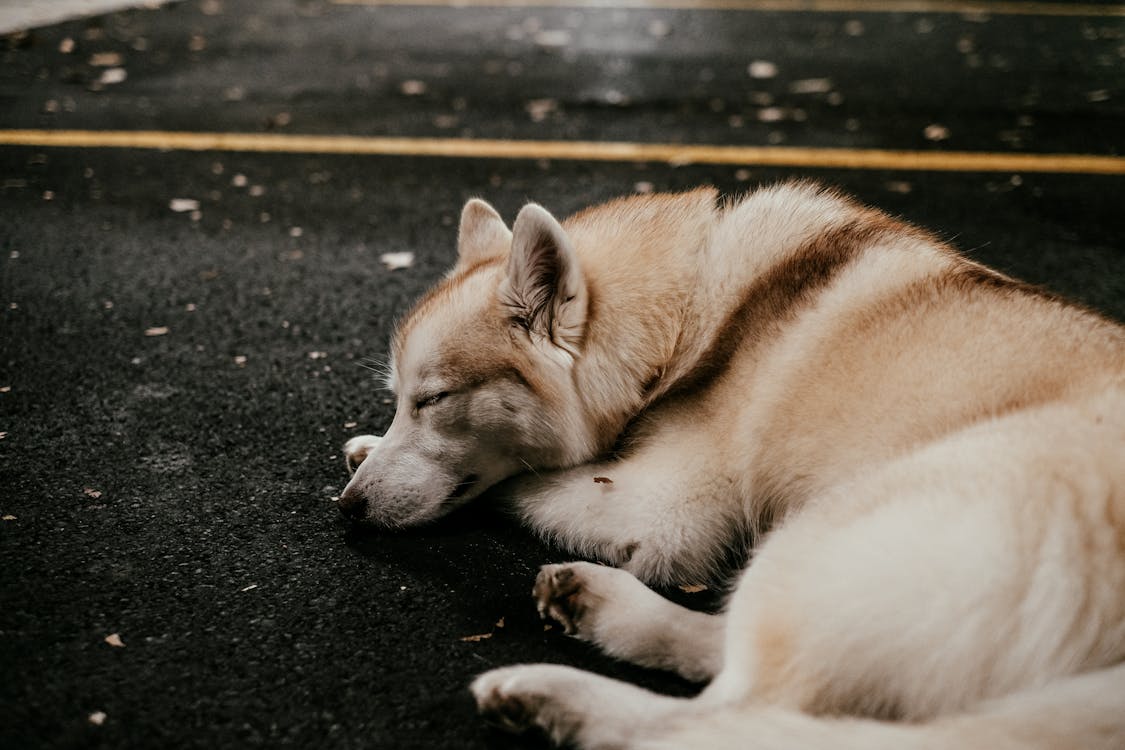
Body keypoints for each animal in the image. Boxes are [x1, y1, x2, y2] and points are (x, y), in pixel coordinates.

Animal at [339, 183, 1125, 750]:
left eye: (434, 400)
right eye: (400, 398)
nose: (347, 509)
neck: (685, 319)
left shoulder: (654, 512)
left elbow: (521, 481)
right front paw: (368, 446)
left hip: (848, 519)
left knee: (725, 715)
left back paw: (557, 697)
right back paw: (598, 606)